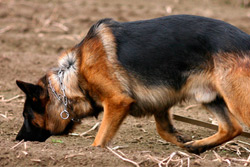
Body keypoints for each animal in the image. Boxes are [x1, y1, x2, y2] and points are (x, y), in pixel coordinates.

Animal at [16, 15, 250, 155]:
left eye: (27, 116)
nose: (17, 140)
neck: (74, 75)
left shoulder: (117, 102)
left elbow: (99, 139)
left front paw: (96, 153)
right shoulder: (160, 105)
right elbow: (164, 130)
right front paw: (183, 142)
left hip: (236, 100)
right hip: (209, 98)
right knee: (232, 128)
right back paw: (200, 146)